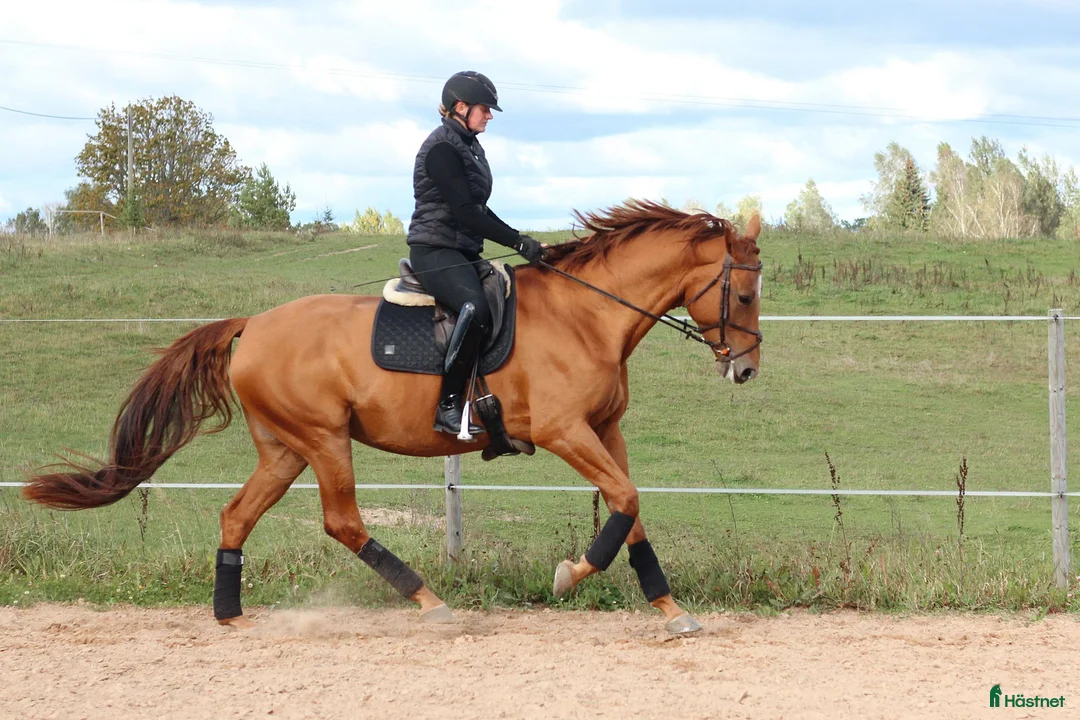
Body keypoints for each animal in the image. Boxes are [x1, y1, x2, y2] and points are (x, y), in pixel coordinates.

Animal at [23, 200, 763, 635]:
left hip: (284, 448)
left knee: (237, 515)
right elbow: (625, 499)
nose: (747, 371)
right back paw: (428, 601)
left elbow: (630, 506)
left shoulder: (606, 431)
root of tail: (251, 325)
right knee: (342, 522)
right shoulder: (565, 432)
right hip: (323, 439)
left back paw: (230, 615)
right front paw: (570, 575)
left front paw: (670, 608)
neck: (587, 315)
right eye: (749, 293)